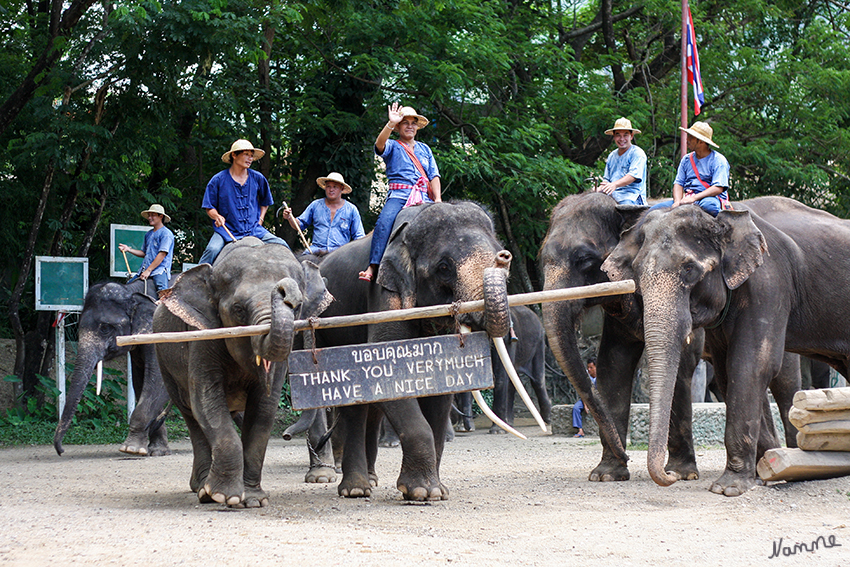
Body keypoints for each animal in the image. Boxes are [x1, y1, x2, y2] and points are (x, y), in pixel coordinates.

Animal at [53, 280, 171, 458]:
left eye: (105, 328)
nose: (61, 451)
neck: (131, 290)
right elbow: (140, 380)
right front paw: (156, 451)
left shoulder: (160, 331)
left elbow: (158, 379)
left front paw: (130, 449)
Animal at [153, 237, 332, 508]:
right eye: (238, 309)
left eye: (299, 306)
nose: (284, 290)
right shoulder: (203, 335)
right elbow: (206, 400)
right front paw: (223, 496)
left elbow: (264, 408)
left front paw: (254, 500)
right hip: (164, 361)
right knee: (191, 414)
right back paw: (202, 490)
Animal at [312, 203, 510, 502]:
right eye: (444, 268)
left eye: (501, 254)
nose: (505, 256)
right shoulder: (385, 293)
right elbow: (390, 373)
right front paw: (421, 492)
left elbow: (439, 386)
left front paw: (438, 491)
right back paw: (356, 489)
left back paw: (367, 482)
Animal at [454, 306, 552, 434]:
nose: (469, 429)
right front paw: (461, 428)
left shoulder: (508, 340)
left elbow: (501, 375)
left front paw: (496, 431)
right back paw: (509, 424)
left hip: (538, 345)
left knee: (537, 380)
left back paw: (547, 420)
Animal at [596, 196, 840, 496]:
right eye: (637, 273)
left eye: (689, 269)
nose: (669, 476)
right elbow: (615, 364)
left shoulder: (769, 284)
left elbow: (748, 364)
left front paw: (723, 487)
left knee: (783, 381)